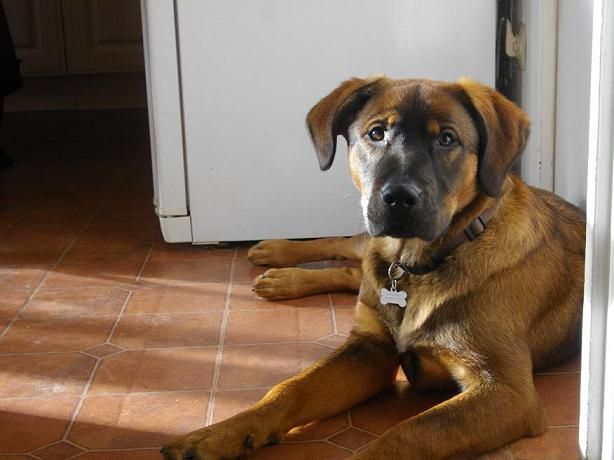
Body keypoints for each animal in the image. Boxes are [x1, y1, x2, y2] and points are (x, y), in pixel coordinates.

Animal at [161, 77, 585, 459]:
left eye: (447, 139)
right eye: (376, 133)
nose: (397, 198)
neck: (418, 265)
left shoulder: (505, 391)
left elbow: (407, 434)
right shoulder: (369, 349)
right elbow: (289, 388)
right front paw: (215, 435)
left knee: (351, 270)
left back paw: (281, 276)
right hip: (368, 244)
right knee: (346, 248)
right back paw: (278, 258)